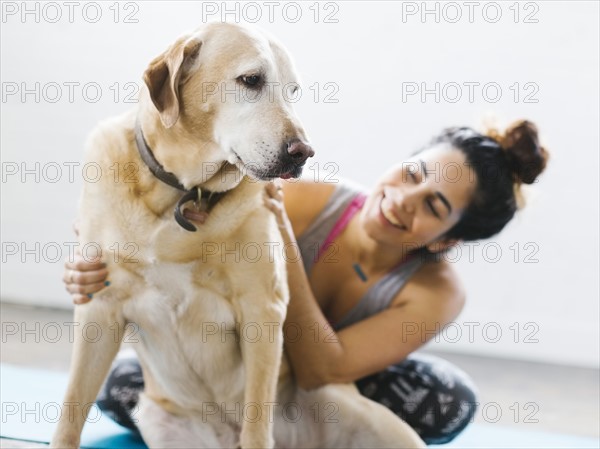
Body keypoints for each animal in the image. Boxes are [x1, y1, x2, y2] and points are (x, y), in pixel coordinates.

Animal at [52, 21, 426, 448]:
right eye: (251, 80)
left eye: (293, 91)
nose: (304, 152)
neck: (183, 194)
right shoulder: (99, 307)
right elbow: (71, 410)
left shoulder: (262, 309)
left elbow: (257, 422)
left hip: (360, 410)